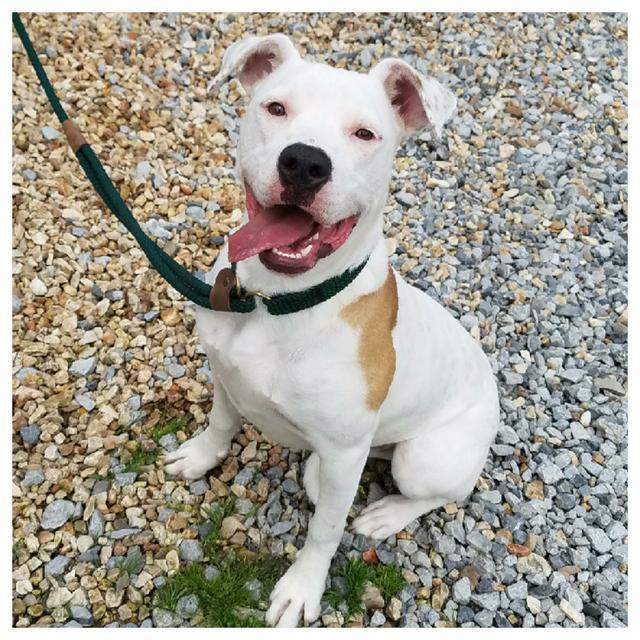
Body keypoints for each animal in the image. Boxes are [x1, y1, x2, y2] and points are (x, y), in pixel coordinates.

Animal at [164, 33, 496, 624]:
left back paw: (386, 515)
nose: (304, 162)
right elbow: (222, 423)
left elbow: (324, 532)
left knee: (434, 493)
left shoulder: (344, 454)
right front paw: (201, 457)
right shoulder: (224, 374)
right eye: (276, 108)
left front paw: (301, 590)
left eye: (365, 133)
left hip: (424, 459)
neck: (275, 304)